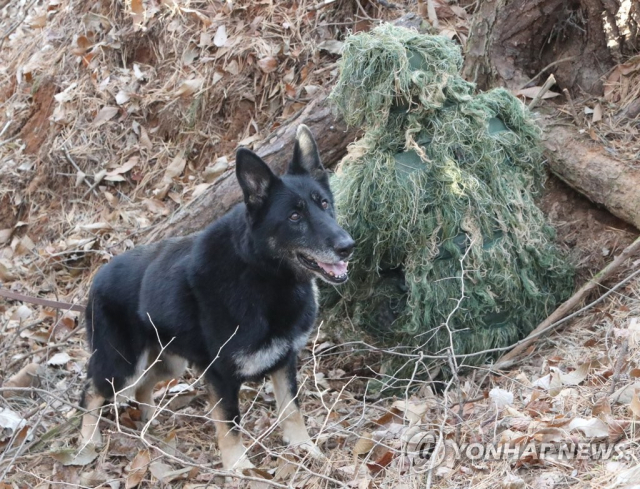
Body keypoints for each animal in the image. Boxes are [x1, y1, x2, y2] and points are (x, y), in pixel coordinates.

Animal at [80, 124, 356, 468]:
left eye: (324, 204)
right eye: (294, 217)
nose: (348, 246)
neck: (262, 276)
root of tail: (98, 276)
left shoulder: (284, 362)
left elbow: (291, 409)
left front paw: (304, 448)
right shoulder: (221, 375)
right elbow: (230, 423)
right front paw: (239, 467)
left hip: (170, 362)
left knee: (143, 387)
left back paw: (150, 426)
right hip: (121, 364)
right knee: (91, 391)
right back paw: (87, 442)